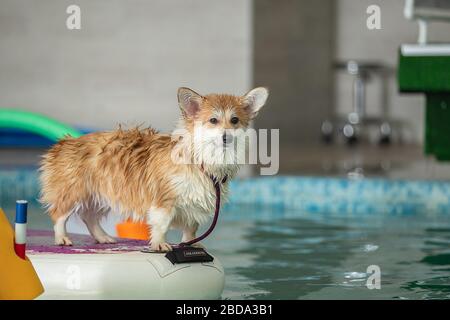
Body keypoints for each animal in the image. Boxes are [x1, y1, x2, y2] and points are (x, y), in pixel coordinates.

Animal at [39, 88, 268, 252]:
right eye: (213, 120)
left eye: (235, 120)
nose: (226, 137)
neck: (201, 160)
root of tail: (66, 142)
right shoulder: (164, 200)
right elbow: (161, 224)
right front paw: (159, 244)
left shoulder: (195, 204)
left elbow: (191, 228)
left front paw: (191, 243)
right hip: (73, 191)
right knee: (59, 214)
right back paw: (62, 238)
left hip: (101, 193)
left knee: (89, 216)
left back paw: (103, 237)